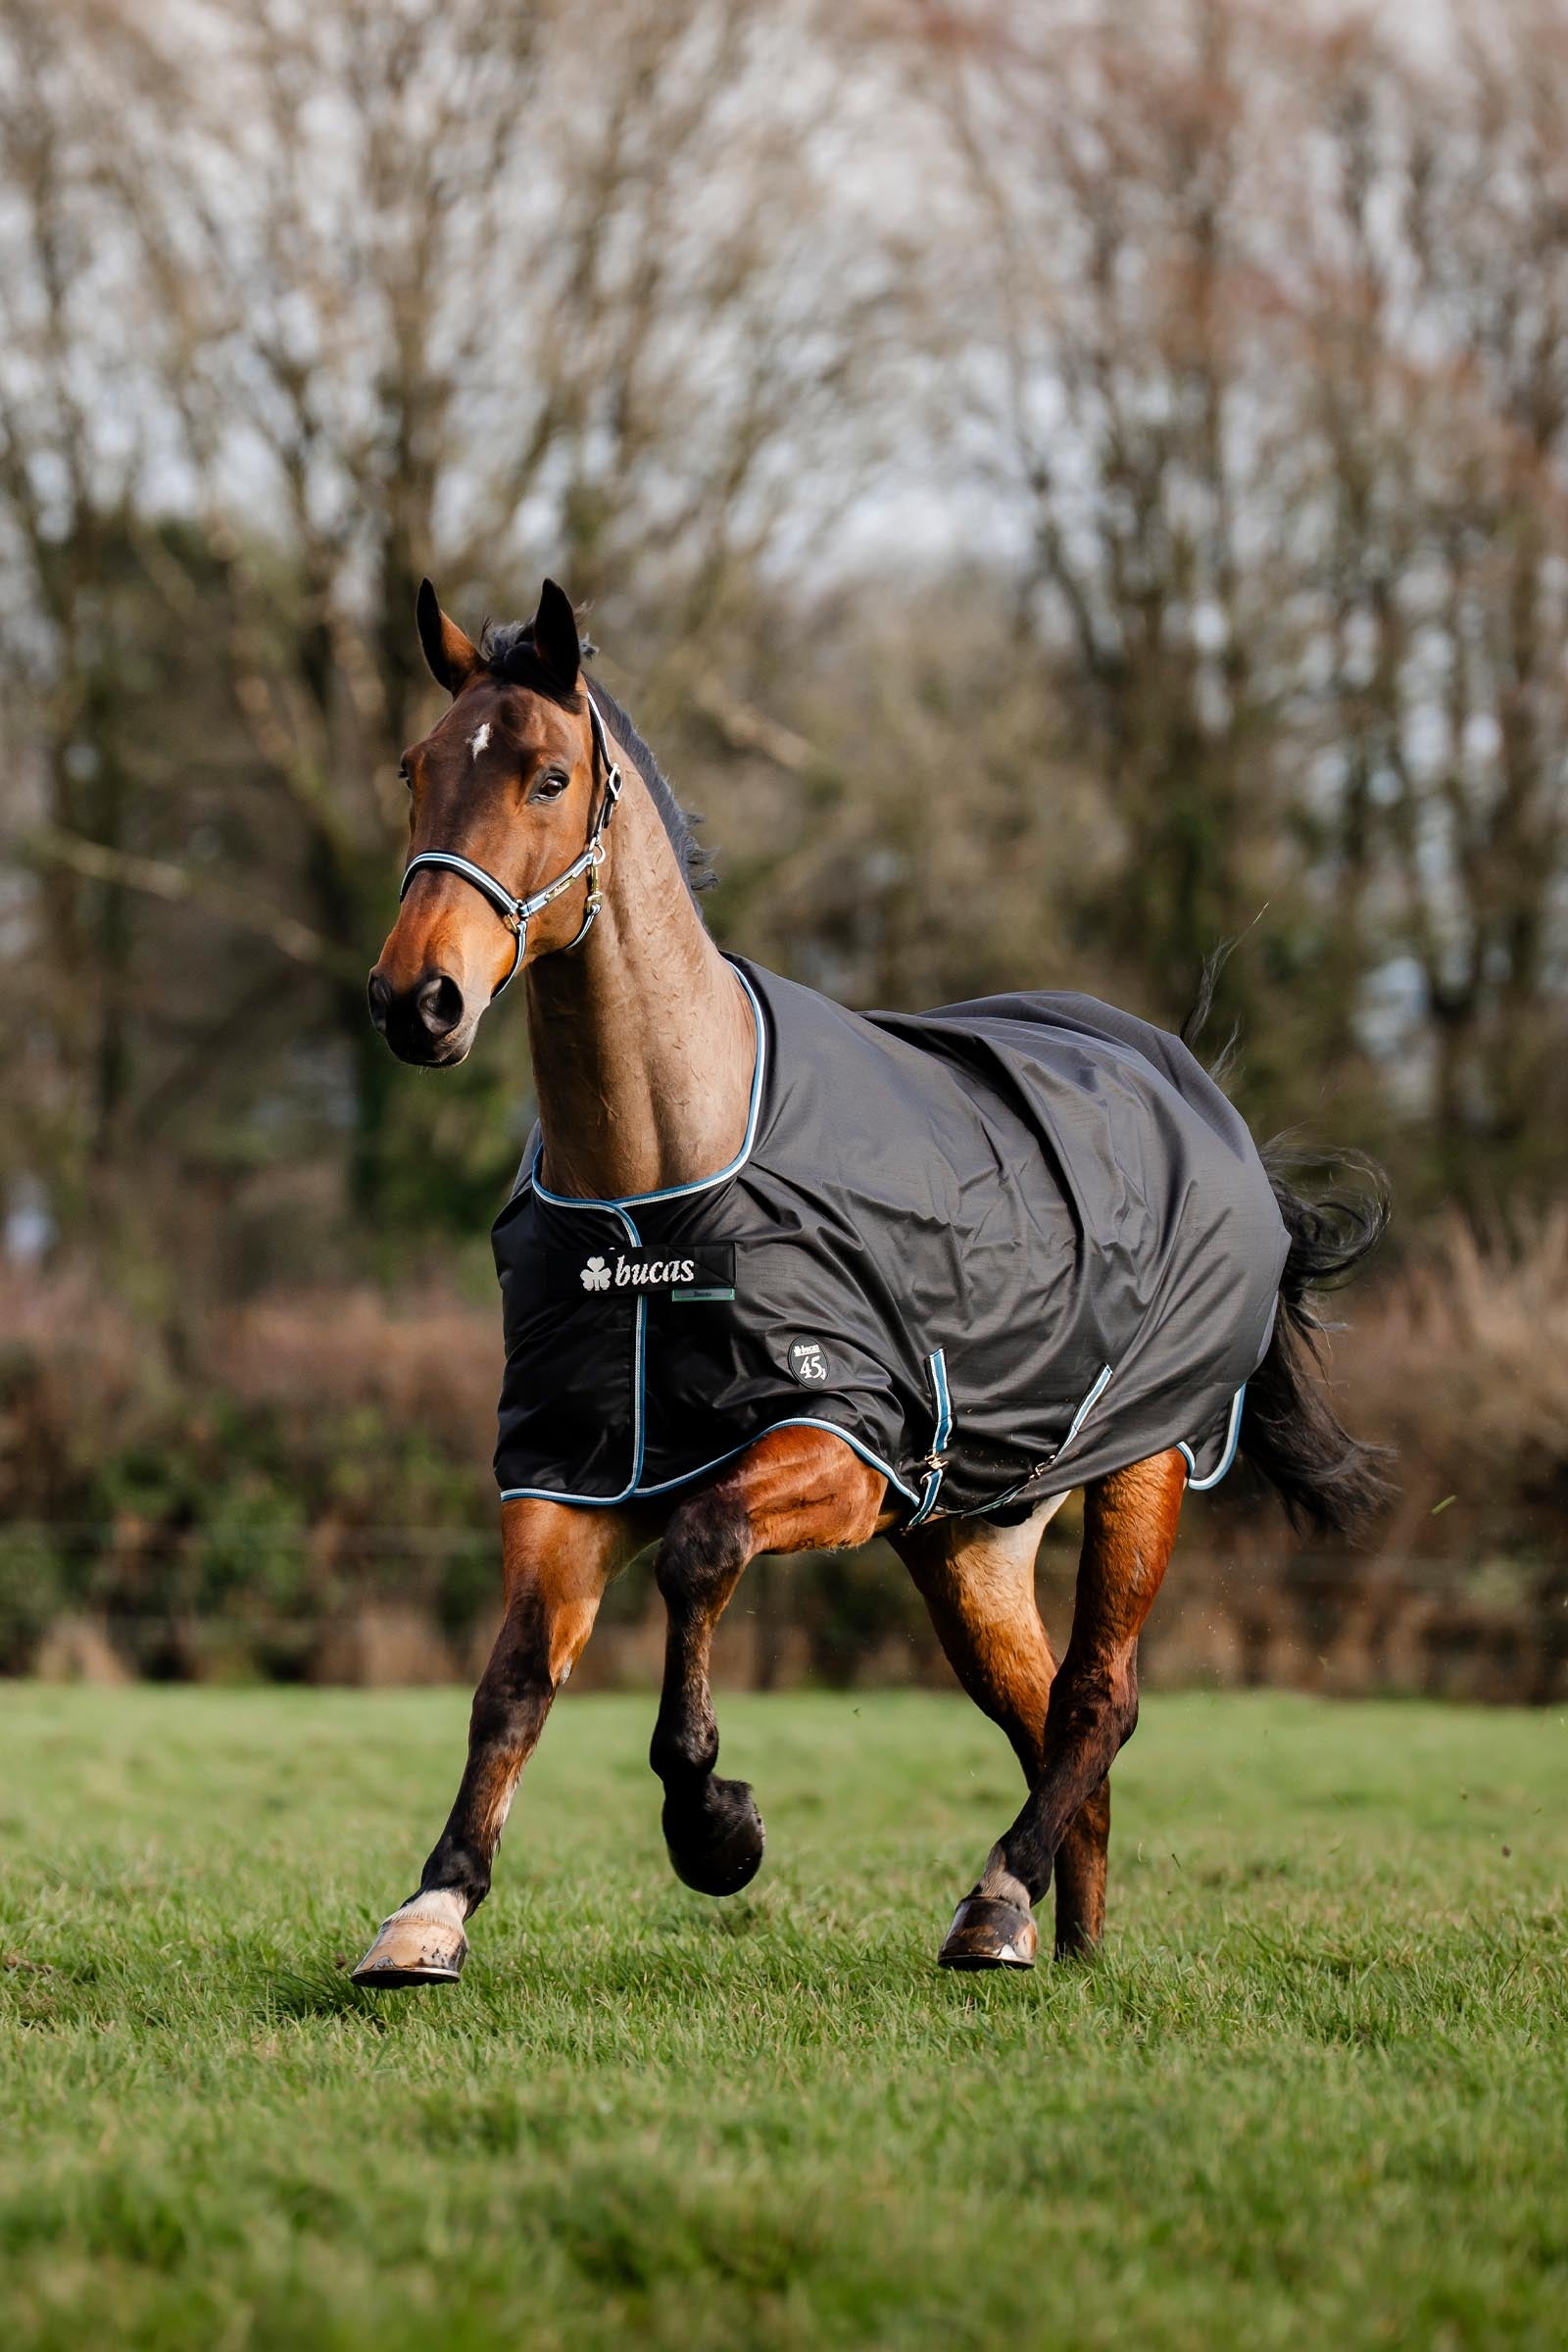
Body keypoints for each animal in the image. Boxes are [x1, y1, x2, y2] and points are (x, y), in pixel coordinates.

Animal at [352, 576, 1388, 1986]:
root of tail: (1206, 1106)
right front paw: (432, 1908)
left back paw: (995, 1905)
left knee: (1098, 1699)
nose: (419, 1000)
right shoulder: (567, 1473)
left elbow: (700, 1548)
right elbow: (512, 1679)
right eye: (416, 771)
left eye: (547, 777)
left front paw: (714, 1824)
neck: (657, 1193)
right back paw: (1065, 1942)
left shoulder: (838, 1446)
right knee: (1049, 1721)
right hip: (968, 1543)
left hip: (1143, 1468)